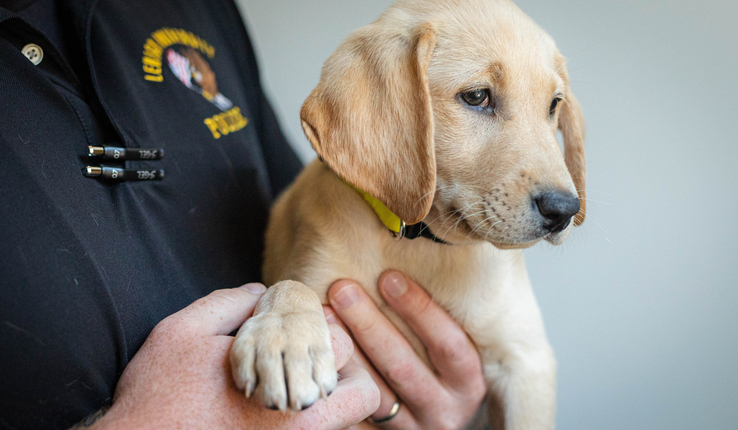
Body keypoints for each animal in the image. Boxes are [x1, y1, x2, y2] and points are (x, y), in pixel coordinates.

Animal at [227, 0, 584, 424]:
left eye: (554, 105)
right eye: (477, 96)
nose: (565, 209)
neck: (420, 243)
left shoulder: (527, 363)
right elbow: (289, 285)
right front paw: (283, 335)